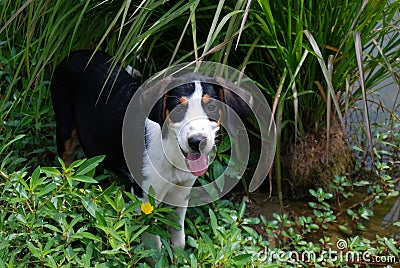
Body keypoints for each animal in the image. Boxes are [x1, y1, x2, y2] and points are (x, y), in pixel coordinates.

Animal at [49, 49, 250, 249]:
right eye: (178, 109)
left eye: (212, 107)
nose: (197, 141)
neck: (171, 153)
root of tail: (75, 53)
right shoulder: (145, 197)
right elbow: (153, 242)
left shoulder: (182, 193)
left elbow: (178, 237)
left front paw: (179, 255)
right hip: (65, 130)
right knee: (65, 169)